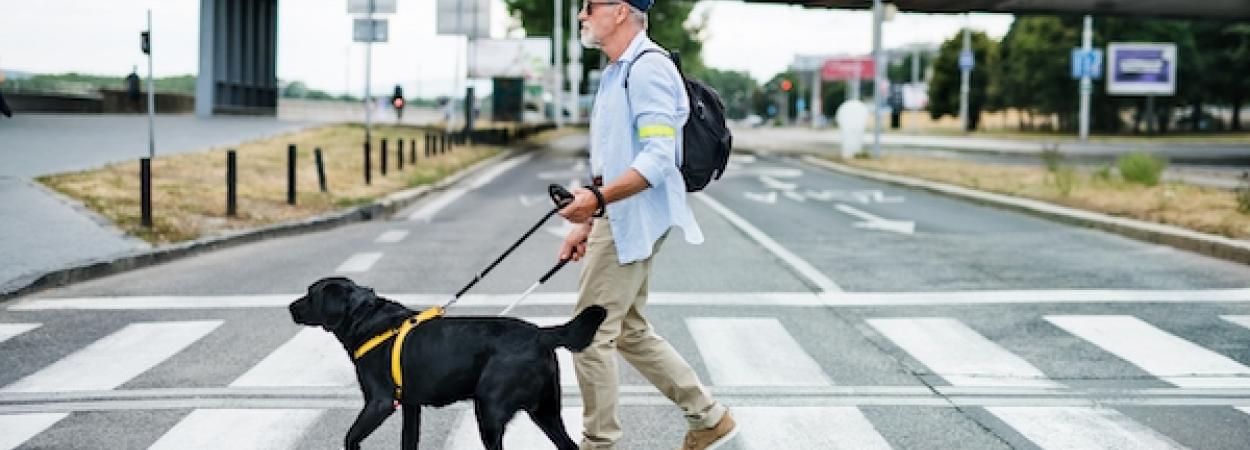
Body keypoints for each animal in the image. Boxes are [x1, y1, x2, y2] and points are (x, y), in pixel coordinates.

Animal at [292, 276, 605, 450]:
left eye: (311, 294)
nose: (291, 307)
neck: (365, 318)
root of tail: (541, 334)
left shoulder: (379, 403)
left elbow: (350, 438)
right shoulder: (411, 407)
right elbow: (408, 442)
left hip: (489, 410)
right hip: (545, 411)